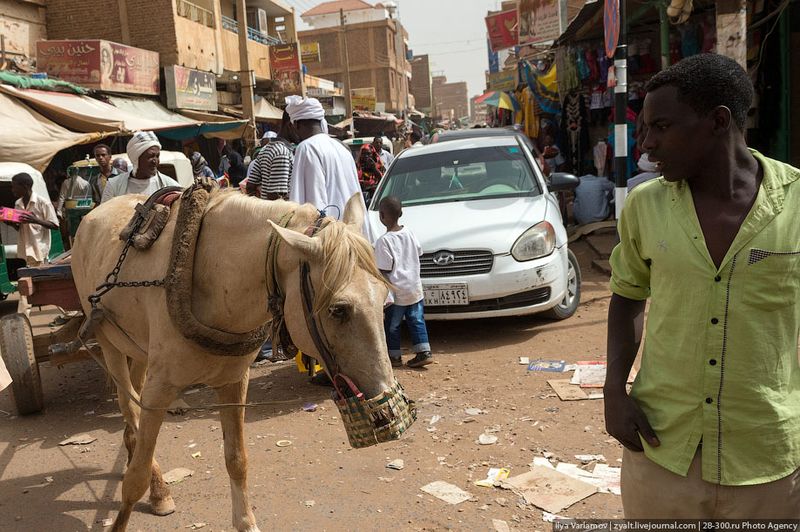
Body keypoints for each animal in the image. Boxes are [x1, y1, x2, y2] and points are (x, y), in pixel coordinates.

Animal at [72, 192, 396, 532]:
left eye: (384, 295)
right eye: (338, 310)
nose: (387, 411)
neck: (208, 275)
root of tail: (98, 210)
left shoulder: (234, 381)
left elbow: (237, 460)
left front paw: (245, 521)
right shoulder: (160, 387)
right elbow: (136, 477)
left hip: (138, 350)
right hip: (108, 342)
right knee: (130, 410)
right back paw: (157, 487)